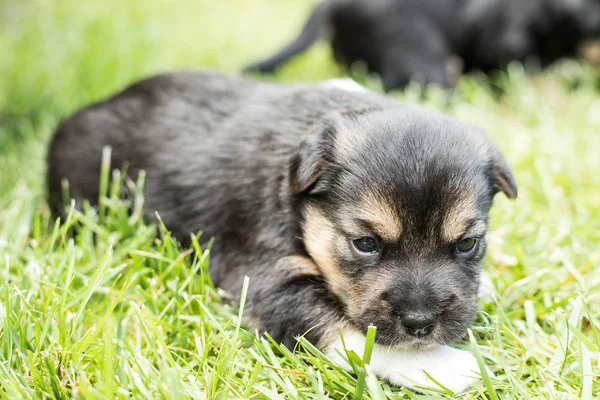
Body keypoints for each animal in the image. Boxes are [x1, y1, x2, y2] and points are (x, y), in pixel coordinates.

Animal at [45, 70, 516, 392]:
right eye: (364, 244)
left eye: (467, 244)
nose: (421, 324)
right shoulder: (268, 280)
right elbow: (348, 331)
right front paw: (443, 366)